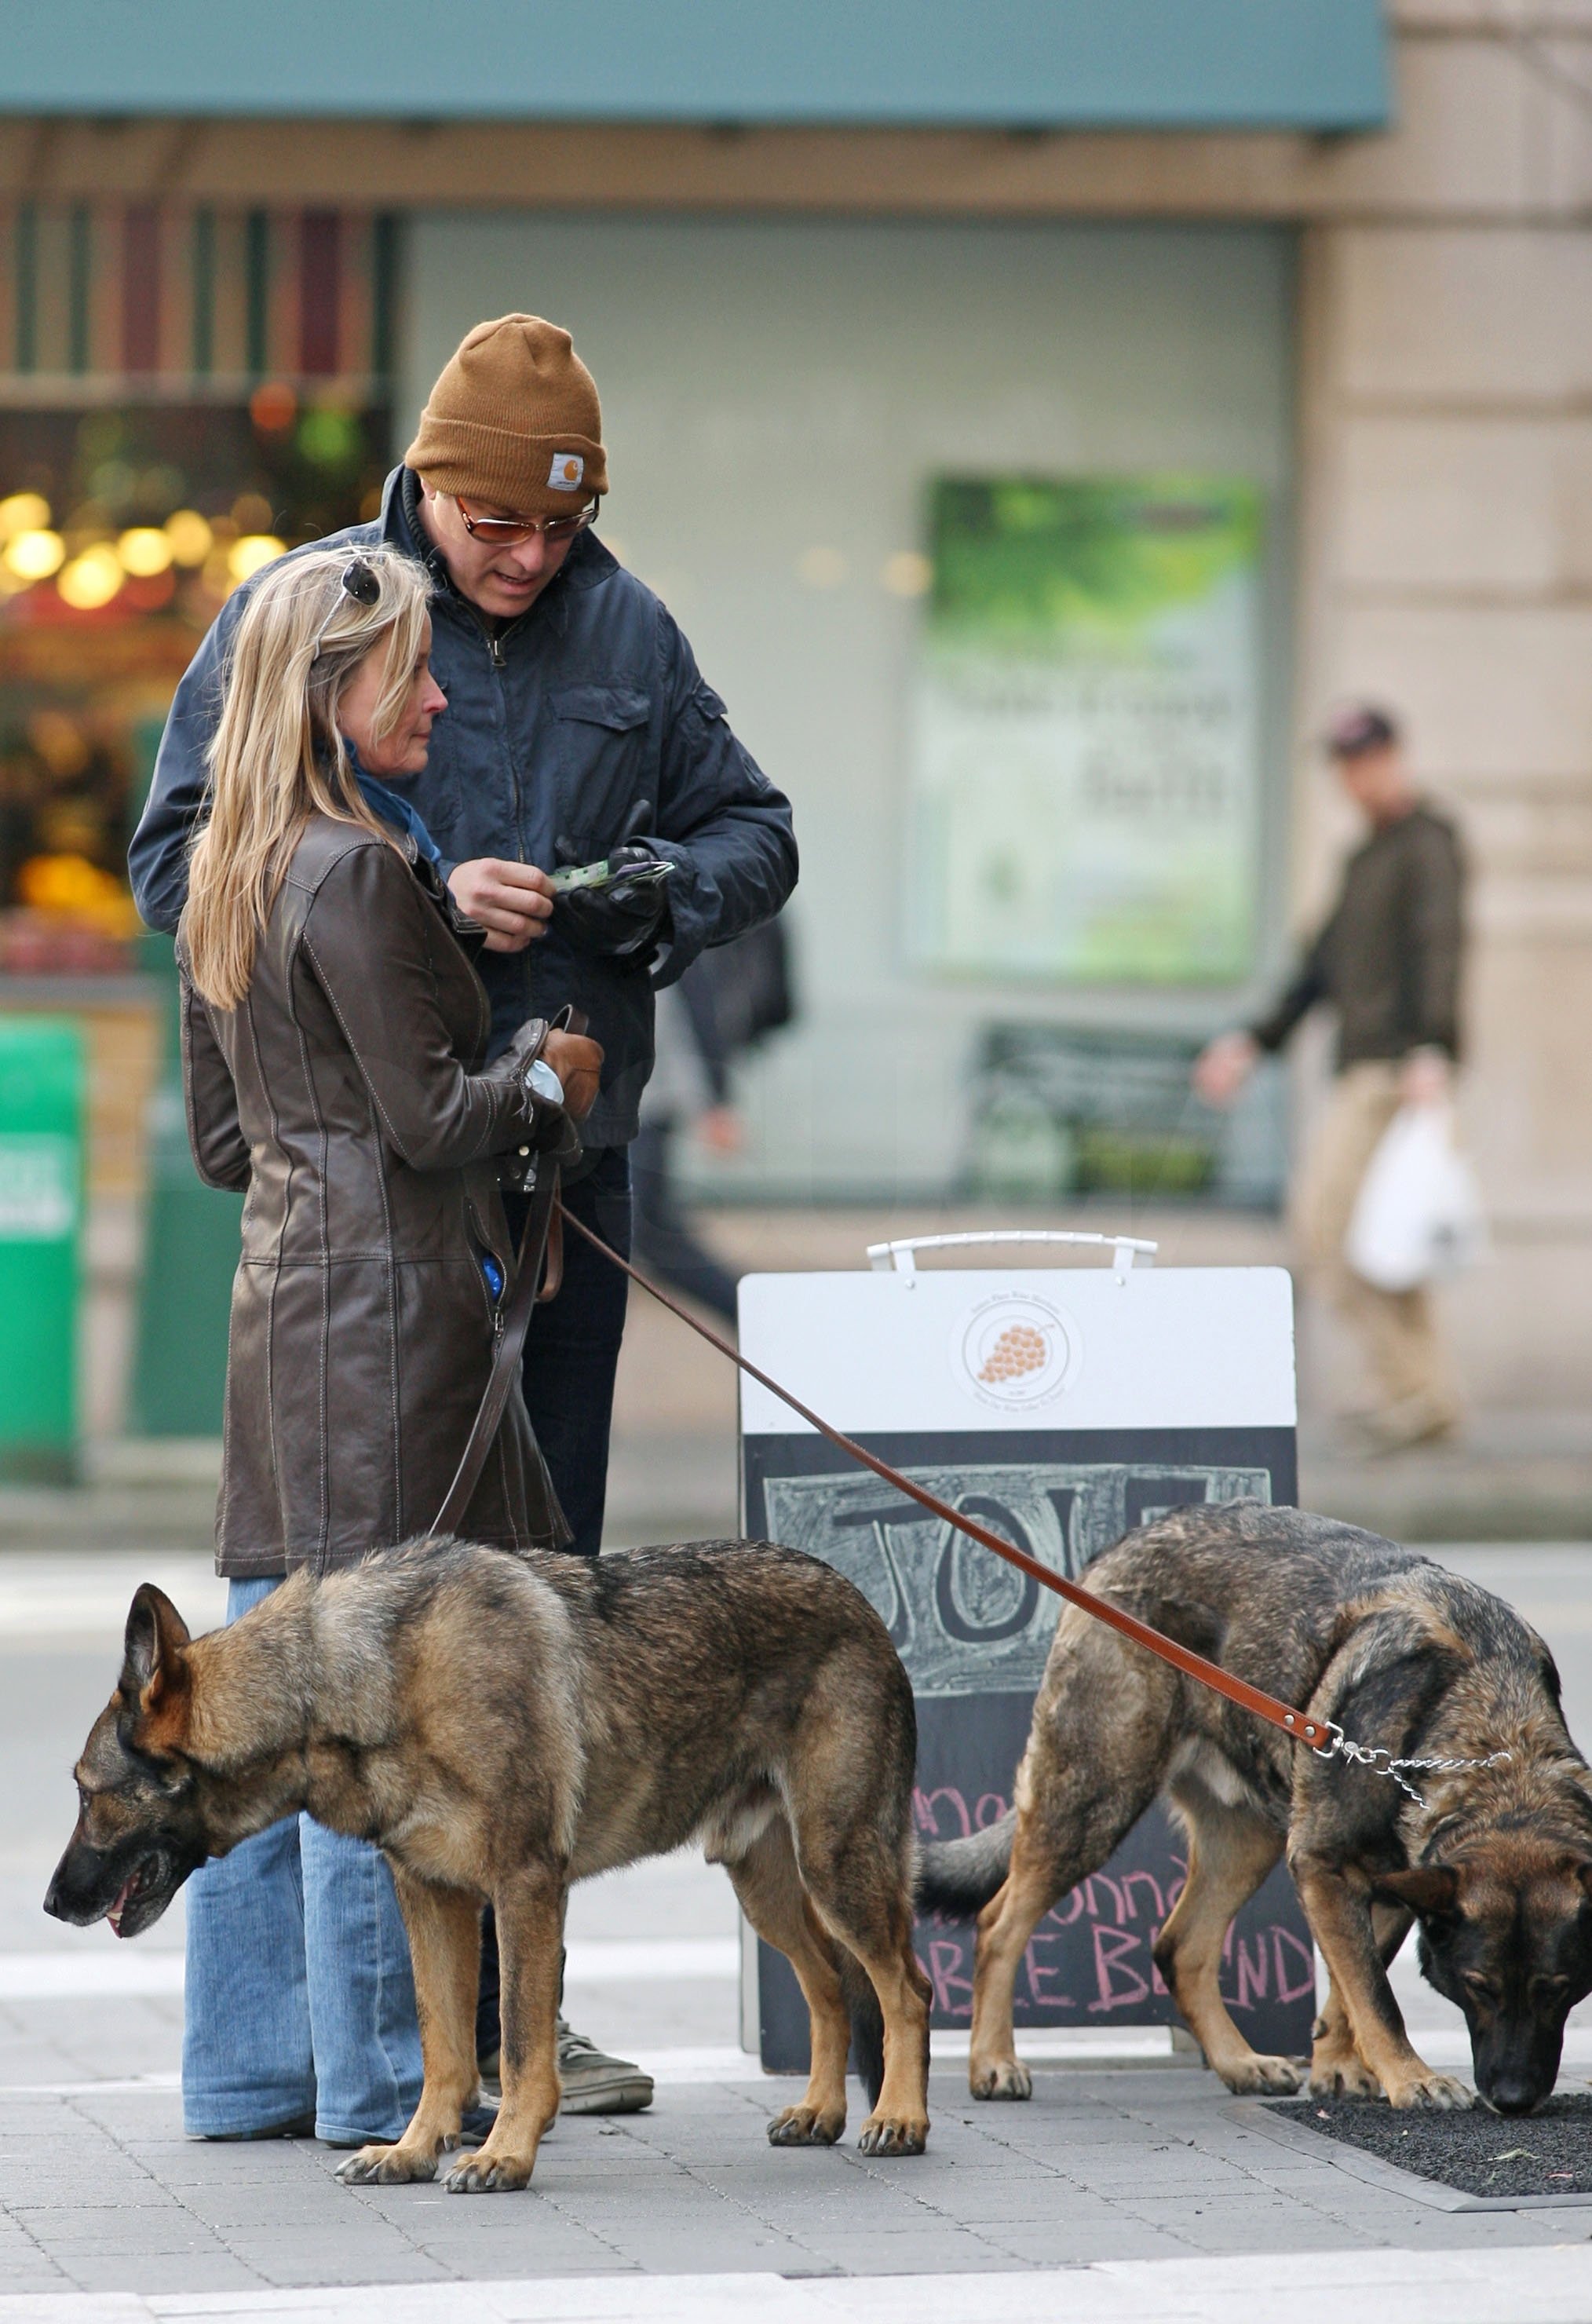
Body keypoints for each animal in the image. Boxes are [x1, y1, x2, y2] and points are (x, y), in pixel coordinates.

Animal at [46, 1533, 929, 2184]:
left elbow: (519, 2043)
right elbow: (442, 2049)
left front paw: (505, 2153)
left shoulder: (524, 1889)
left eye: (87, 1793)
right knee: (830, 1985)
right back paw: (823, 2112)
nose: (51, 1906)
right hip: (771, 1890)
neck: (353, 1685)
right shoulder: (432, 1896)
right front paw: (413, 2151)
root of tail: (856, 1596)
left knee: (906, 1988)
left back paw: (900, 2117)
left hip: (837, 1870)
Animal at [911, 1506, 1590, 2129]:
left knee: (1180, 1948)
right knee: (999, 1924)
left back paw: (1239, 2062)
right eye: (1478, 1986)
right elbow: (1374, 1993)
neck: (1491, 1736)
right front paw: (1410, 2077)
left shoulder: (1390, 1884)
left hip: (1247, 1840)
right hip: (1093, 1803)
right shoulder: (1325, 1865)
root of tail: (1124, 1543)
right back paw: (993, 2062)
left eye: (1561, 1989)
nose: (1515, 2102)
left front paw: (1339, 2069)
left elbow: (1349, 1987)